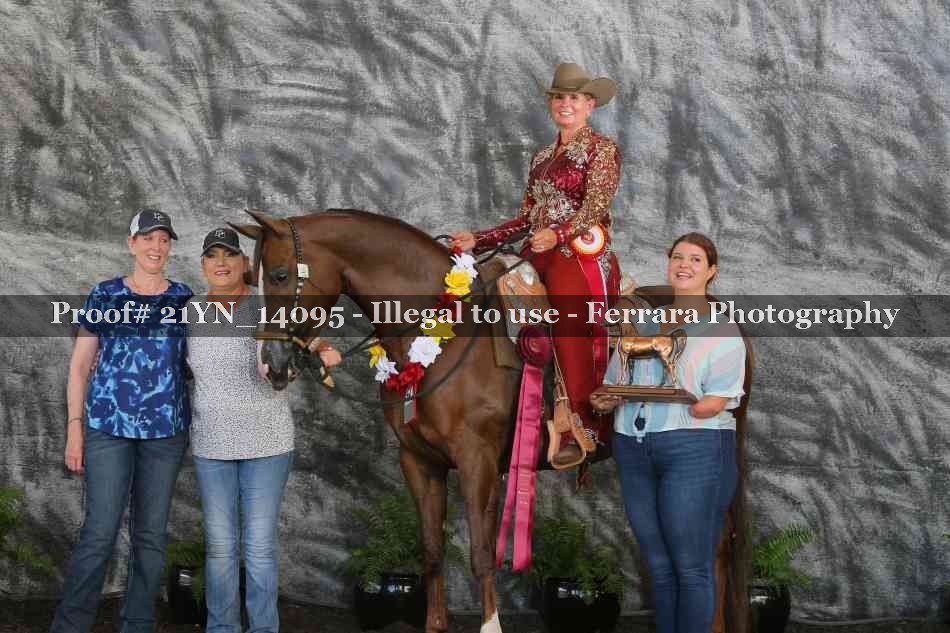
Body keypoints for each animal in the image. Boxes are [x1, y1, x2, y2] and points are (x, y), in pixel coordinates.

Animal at [232, 209, 752, 633]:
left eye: (280, 273)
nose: (271, 364)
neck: (443, 330)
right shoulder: (419, 462)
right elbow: (433, 549)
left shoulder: (476, 460)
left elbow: (482, 553)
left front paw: (490, 625)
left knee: (717, 550)